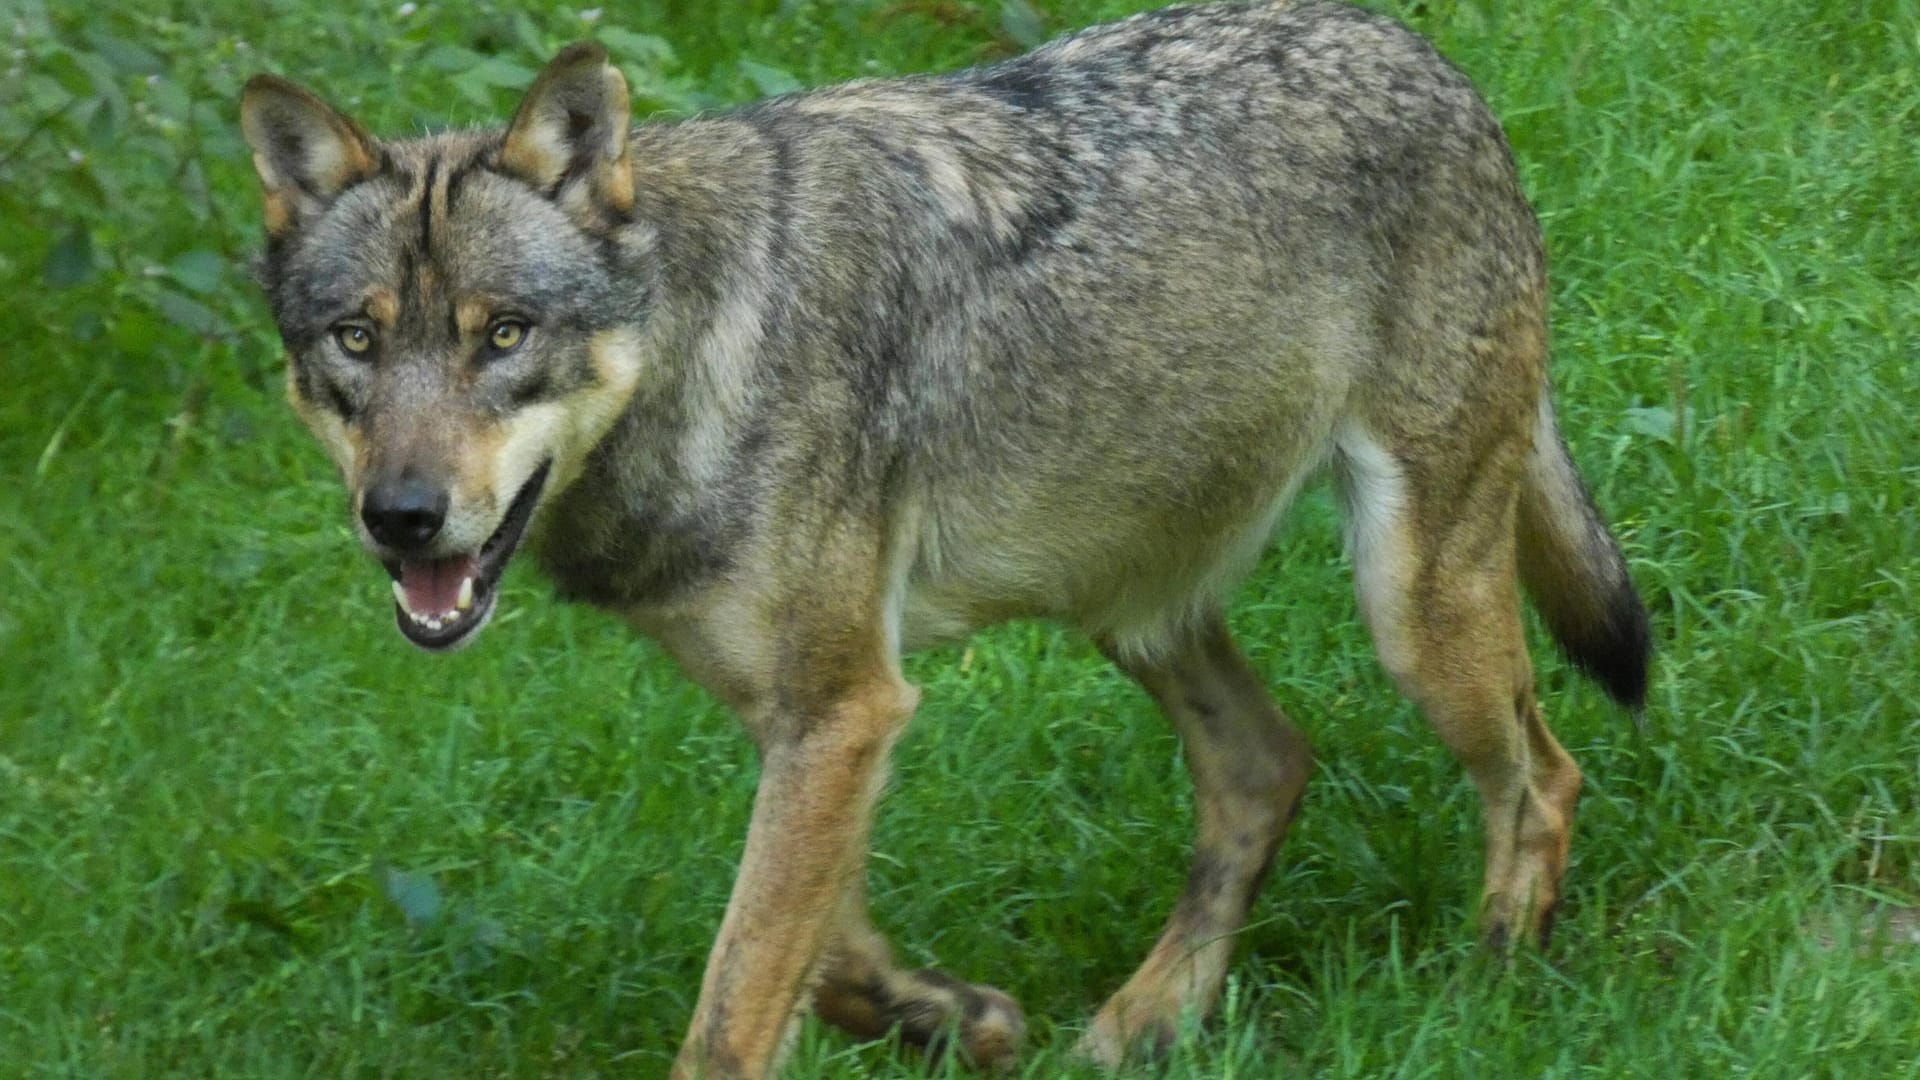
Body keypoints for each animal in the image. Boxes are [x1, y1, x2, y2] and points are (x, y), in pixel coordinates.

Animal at [236, 4, 1651, 1068]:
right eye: (354, 342)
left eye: (503, 335)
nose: (401, 518)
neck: (704, 341)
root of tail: (1428, 57)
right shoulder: (818, 716)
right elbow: (826, 955)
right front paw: (960, 1018)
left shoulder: (844, 708)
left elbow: (735, 1007)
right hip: (1130, 606)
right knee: (1269, 767)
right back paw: (1144, 1025)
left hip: (1410, 611)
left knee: (1544, 779)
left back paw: (1488, 993)